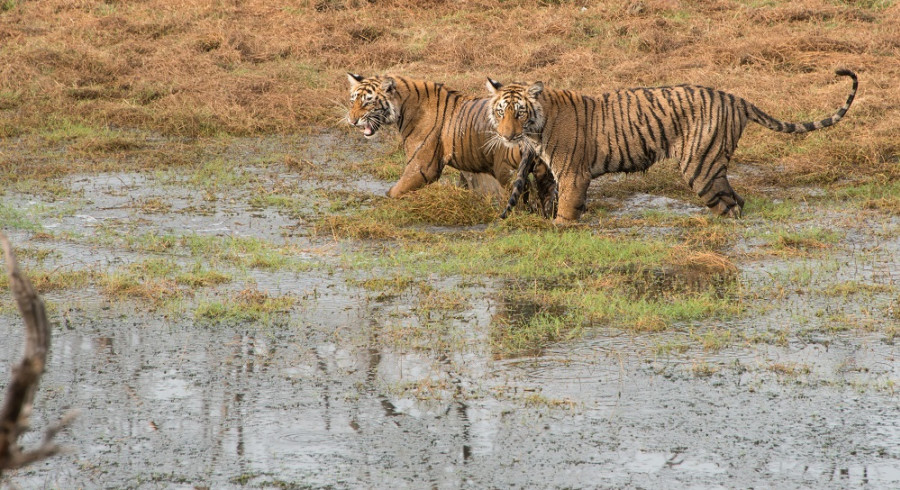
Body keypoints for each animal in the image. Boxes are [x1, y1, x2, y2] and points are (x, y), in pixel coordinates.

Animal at [350, 72, 556, 216]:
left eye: (367, 102)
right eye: (353, 101)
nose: (352, 120)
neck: (402, 106)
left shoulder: (422, 167)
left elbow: (395, 191)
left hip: (507, 169)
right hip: (544, 169)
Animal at [486, 70, 856, 223]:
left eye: (519, 112)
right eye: (501, 112)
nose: (507, 135)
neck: (537, 127)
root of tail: (736, 98)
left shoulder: (573, 176)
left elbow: (565, 214)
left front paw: (560, 231)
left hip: (699, 166)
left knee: (728, 207)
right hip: (711, 167)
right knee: (738, 200)